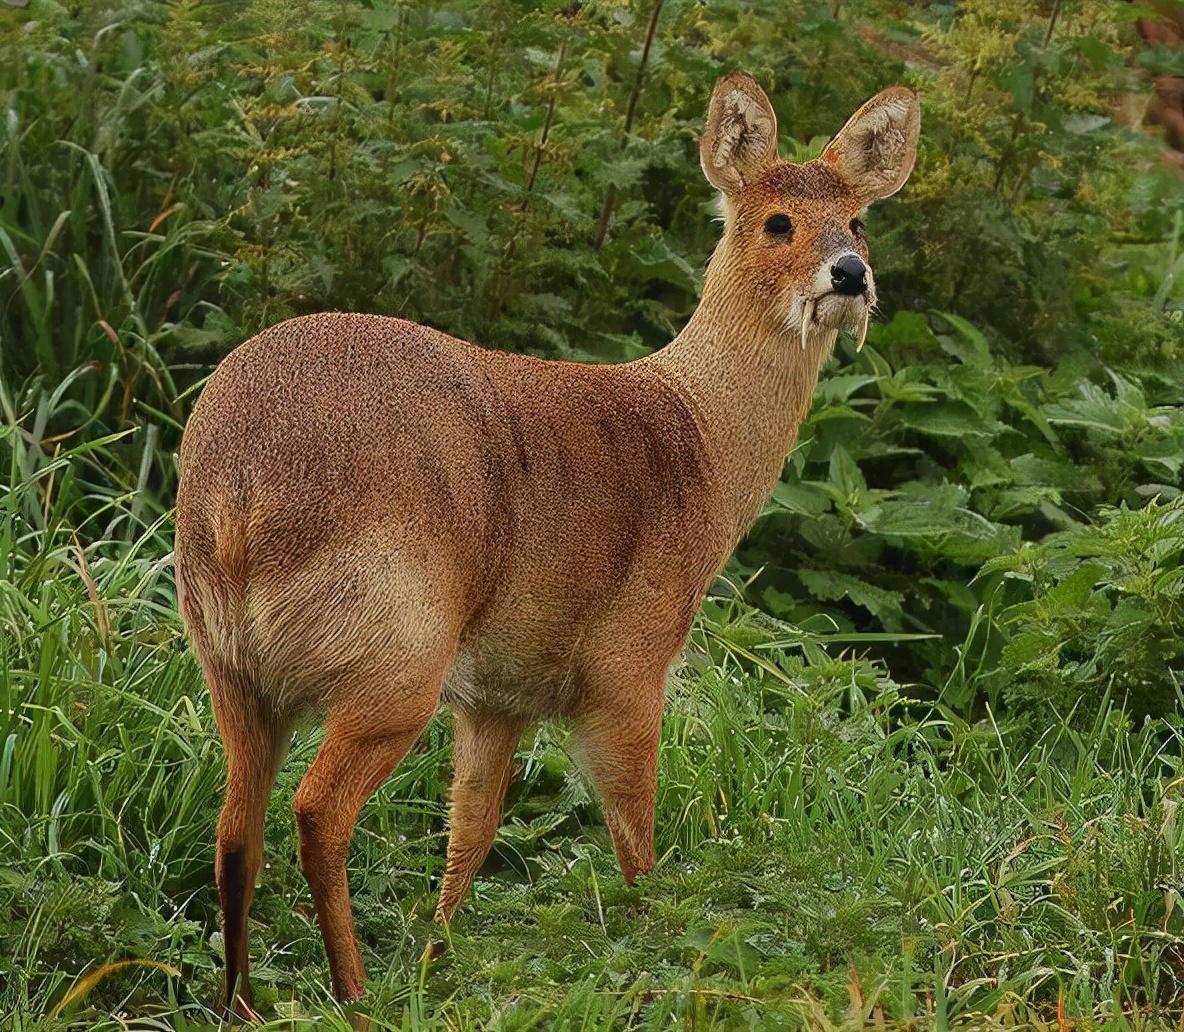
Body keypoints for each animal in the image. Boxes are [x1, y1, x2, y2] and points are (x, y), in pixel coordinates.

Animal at [172, 72, 914, 1017]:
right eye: (777, 220)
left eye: (859, 219)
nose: (850, 274)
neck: (698, 440)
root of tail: (238, 494)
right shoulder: (628, 667)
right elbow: (637, 844)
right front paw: (654, 960)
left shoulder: (500, 694)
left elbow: (471, 834)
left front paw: (441, 963)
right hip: (393, 656)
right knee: (317, 810)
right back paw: (355, 994)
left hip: (231, 665)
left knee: (236, 828)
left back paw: (244, 1001)